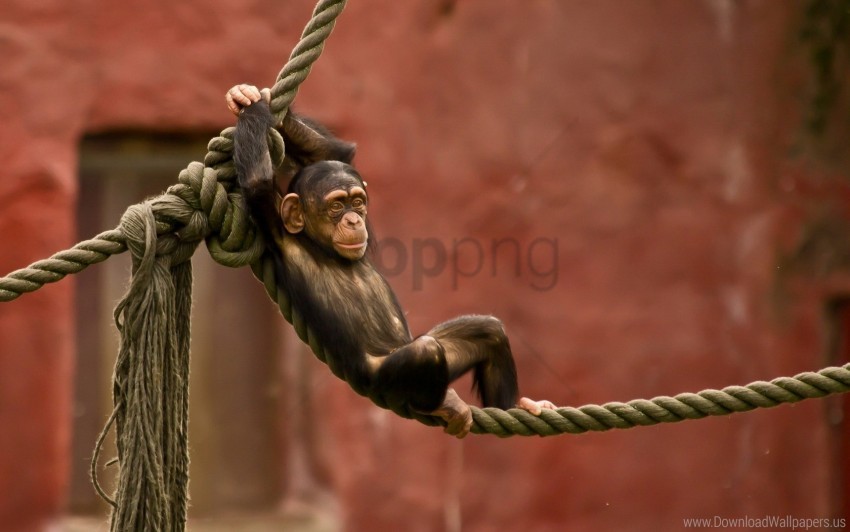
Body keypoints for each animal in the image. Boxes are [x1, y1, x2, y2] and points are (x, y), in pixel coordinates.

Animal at [228, 84, 555, 437]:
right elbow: (257, 183)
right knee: (426, 353)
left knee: (487, 331)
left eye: (357, 201)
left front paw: (256, 101)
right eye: (336, 206)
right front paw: (249, 106)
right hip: (385, 381)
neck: (322, 247)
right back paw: (443, 404)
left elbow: (336, 154)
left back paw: (518, 406)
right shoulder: (276, 228)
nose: (353, 220)